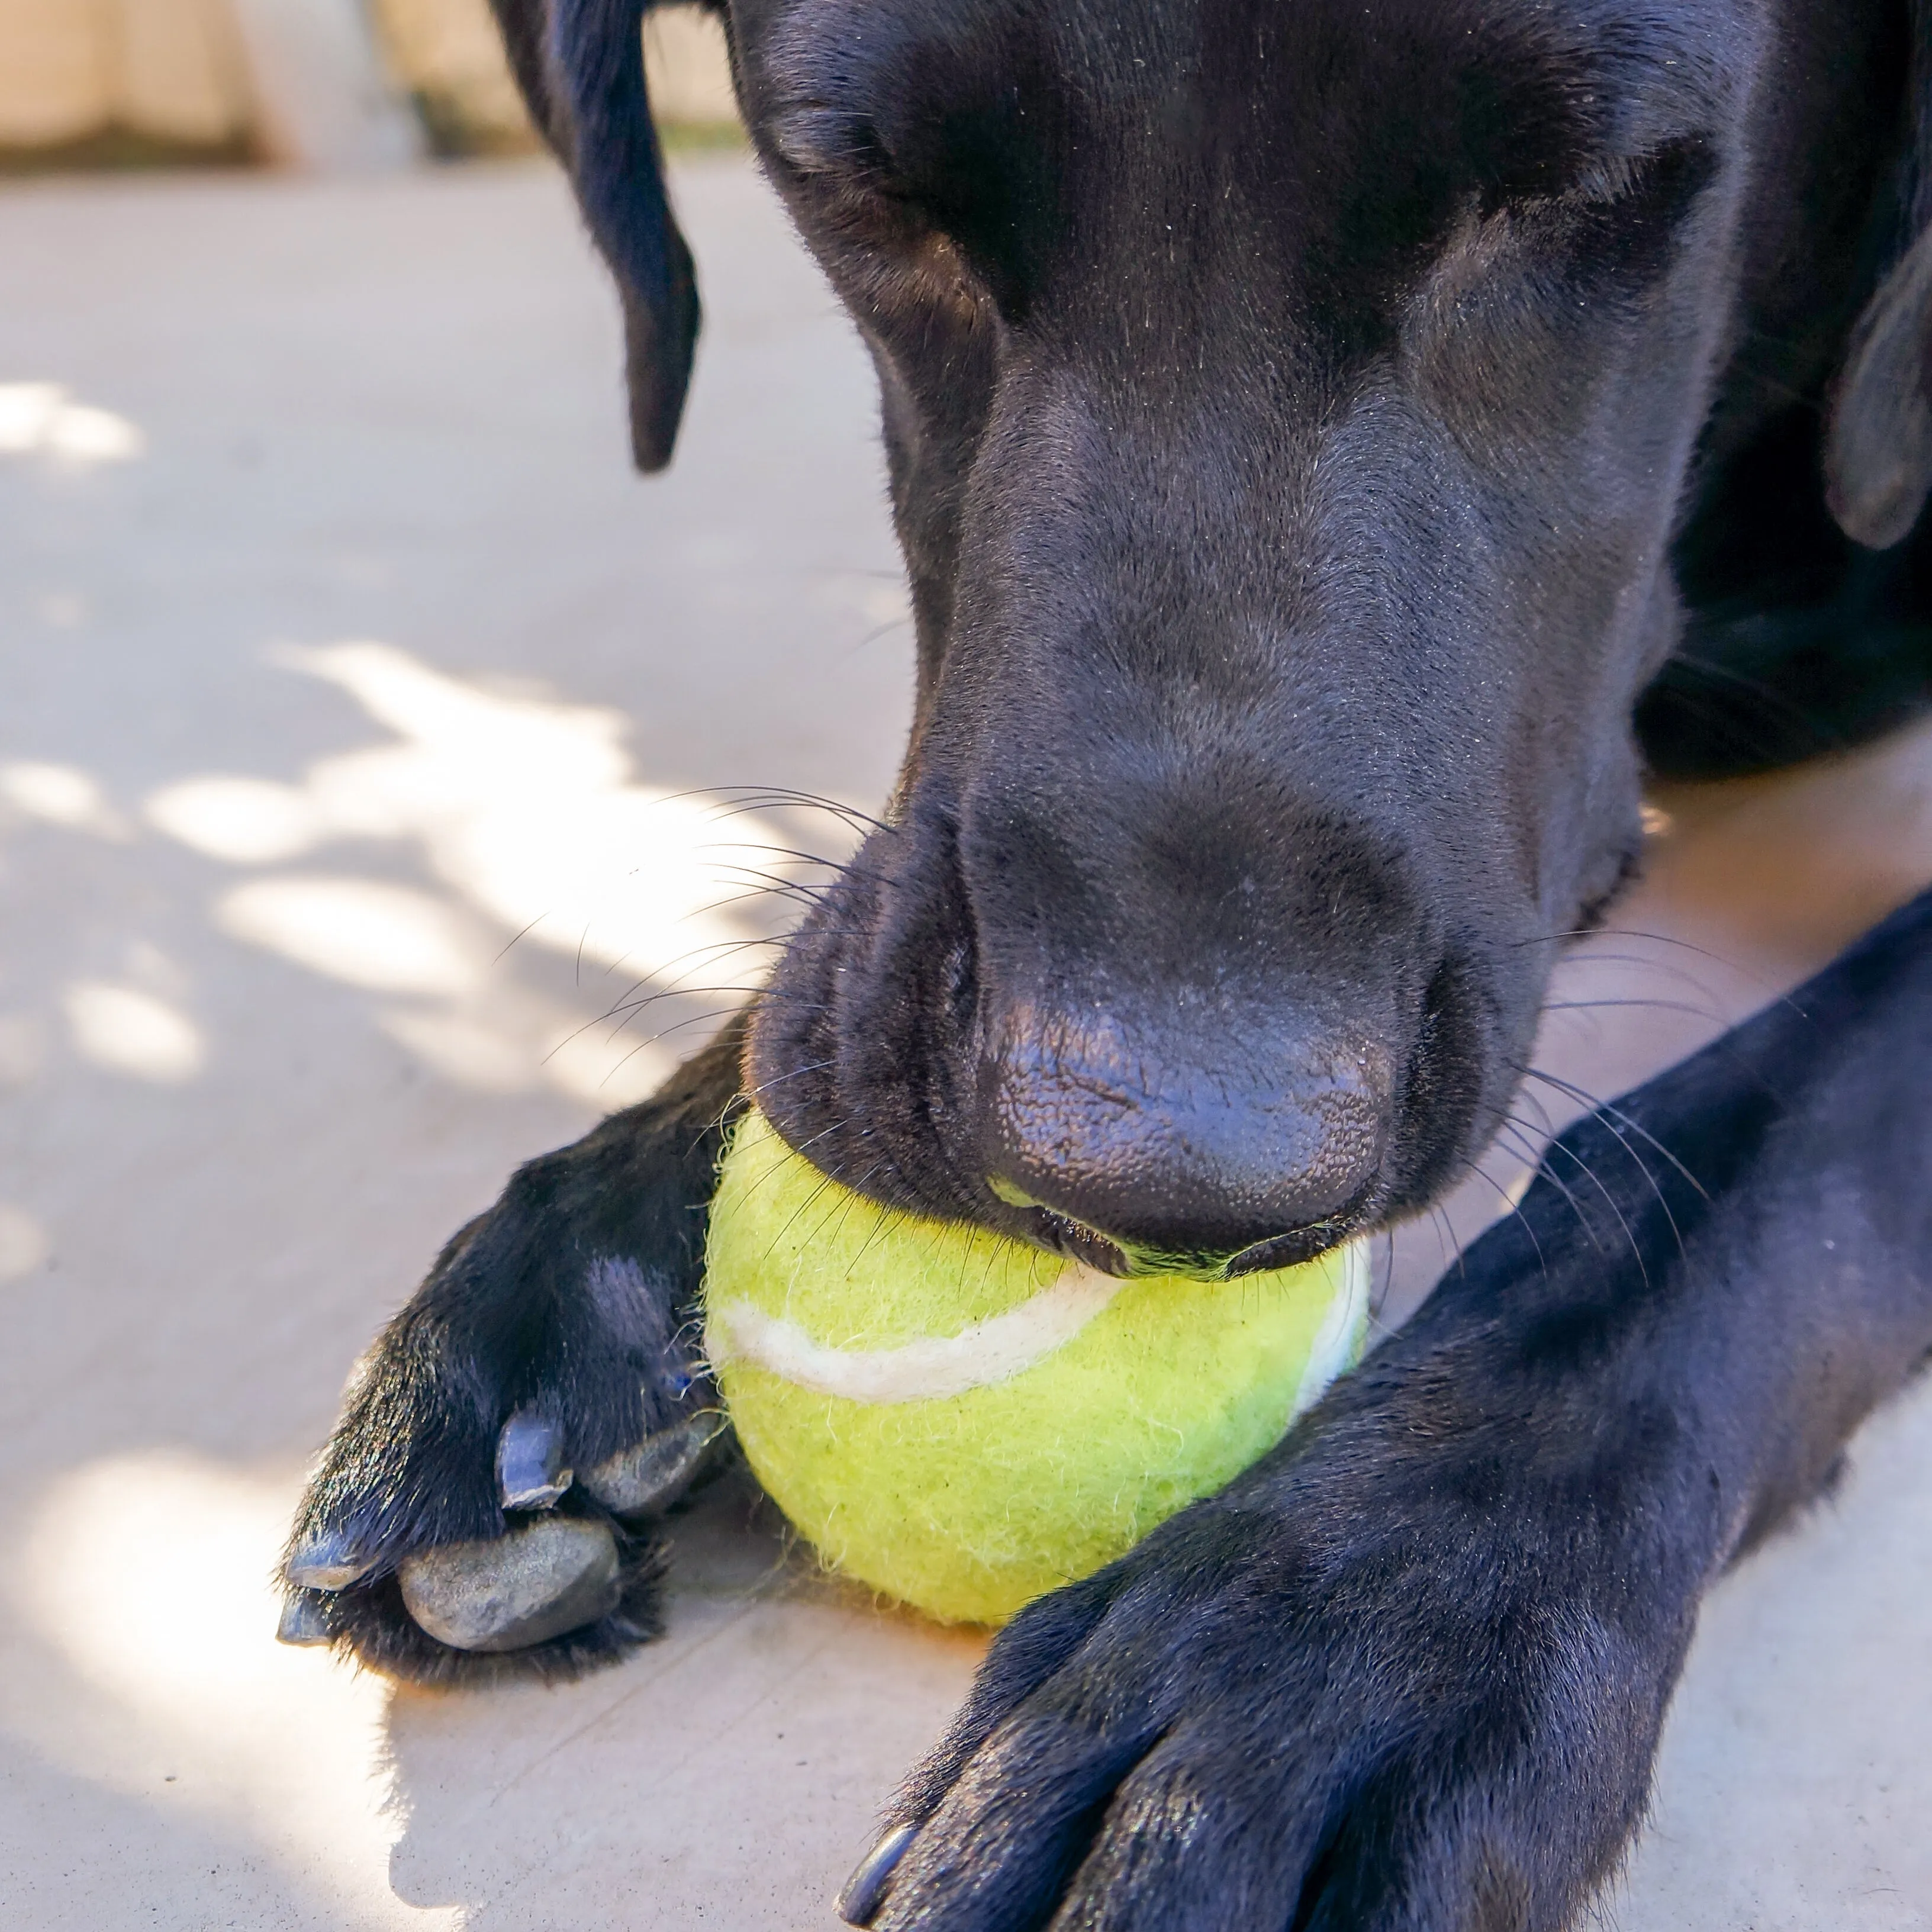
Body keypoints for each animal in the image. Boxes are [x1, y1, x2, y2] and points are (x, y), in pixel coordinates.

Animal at [272, 4, 1932, 1916]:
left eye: (1587, 191)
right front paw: (584, 1258)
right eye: (849, 179)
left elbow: (1759, 1137)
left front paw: (1333, 1626)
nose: (1161, 1169)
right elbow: (824, 977)